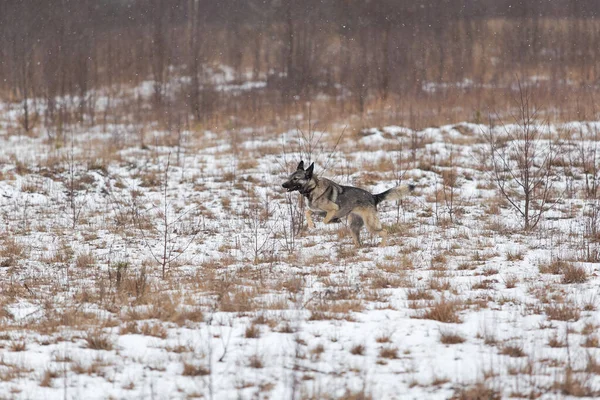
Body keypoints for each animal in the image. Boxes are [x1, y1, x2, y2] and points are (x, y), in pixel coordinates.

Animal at [280, 161, 412, 245]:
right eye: (289, 177)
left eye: (295, 179)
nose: (283, 185)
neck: (313, 187)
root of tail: (373, 196)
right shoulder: (317, 210)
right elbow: (308, 212)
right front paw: (312, 225)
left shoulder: (333, 209)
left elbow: (325, 220)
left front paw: (331, 222)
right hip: (354, 227)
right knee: (358, 242)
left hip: (370, 225)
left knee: (384, 232)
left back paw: (381, 247)